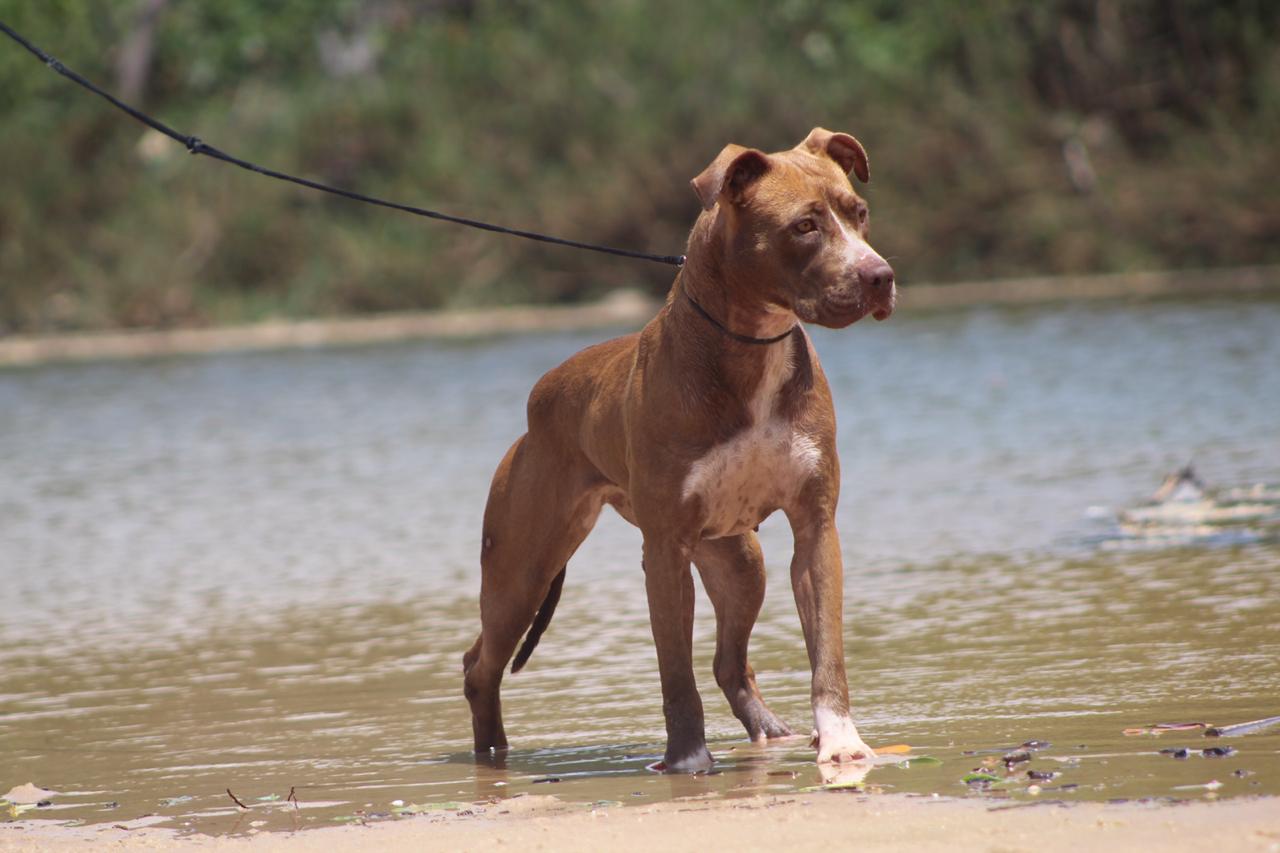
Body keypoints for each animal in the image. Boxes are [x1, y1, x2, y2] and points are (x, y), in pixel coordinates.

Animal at [462, 127, 896, 772]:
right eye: (804, 226)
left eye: (858, 213)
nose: (880, 275)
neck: (752, 345)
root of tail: (542, 398)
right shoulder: (664, 551)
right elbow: (674, 672)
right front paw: (688, 763)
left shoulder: (815, 527)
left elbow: (827, 651)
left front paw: (841, 740)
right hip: (522, 570)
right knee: (480, 664)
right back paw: (491, 754)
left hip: (740, 562)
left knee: (728, 661)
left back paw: (772, 732)